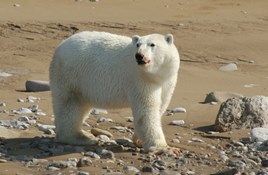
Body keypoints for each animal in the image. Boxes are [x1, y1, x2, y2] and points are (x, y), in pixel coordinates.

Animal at [50, 31, 180, 153]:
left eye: (152, 44)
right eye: (138, 45)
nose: (139, 56)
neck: (155, 75)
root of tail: (60, 46)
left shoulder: (167, 81)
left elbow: (161, 106)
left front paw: (138, 140)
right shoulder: (140, 80)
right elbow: (147, 110)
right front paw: (164, 148)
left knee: (81, 105)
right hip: (71, 74)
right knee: (70, 105)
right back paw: (82, 137)